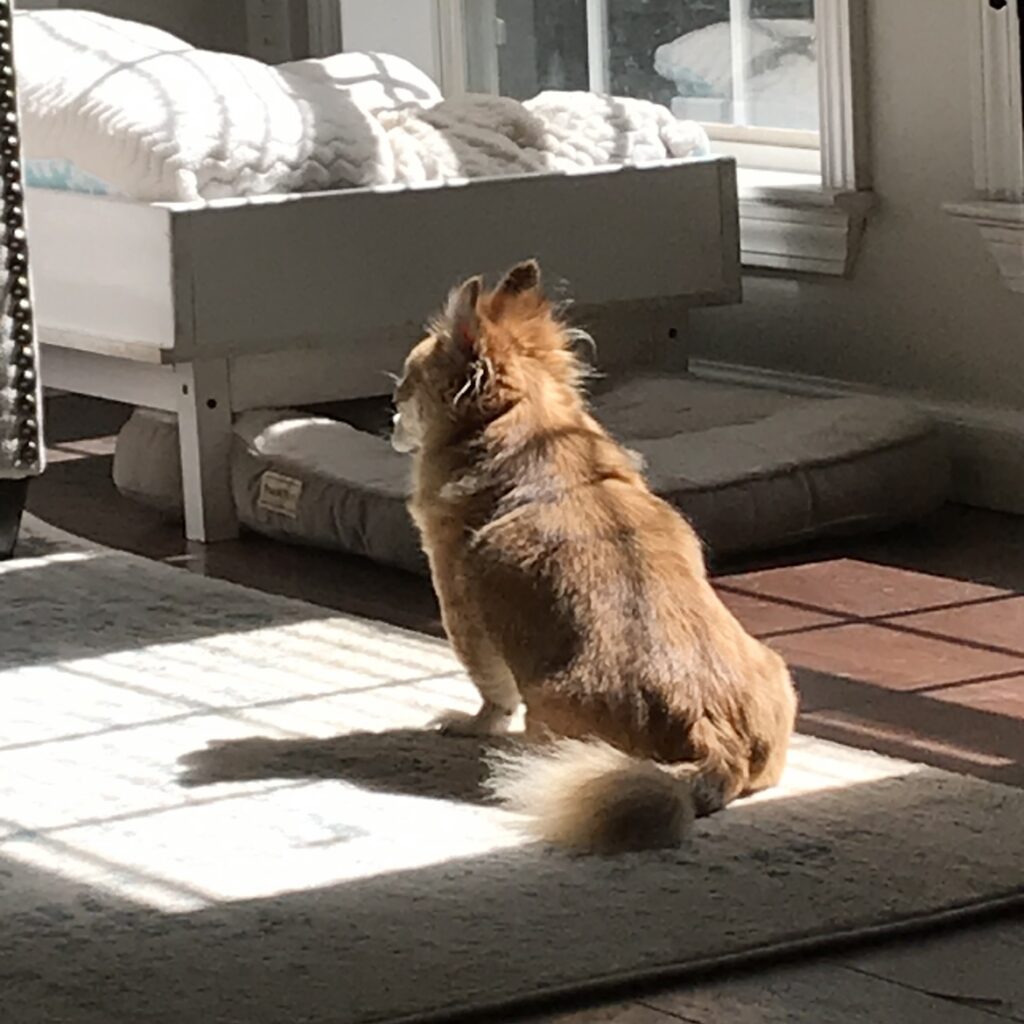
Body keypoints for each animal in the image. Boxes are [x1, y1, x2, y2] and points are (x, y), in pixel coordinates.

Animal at [391, 260, 798, 851]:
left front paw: (471, 725)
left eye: (408, 385)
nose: (390, 409)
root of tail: (714, 745)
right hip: (776, 670)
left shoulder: (459, 604)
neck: (528, 428)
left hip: (546, 709)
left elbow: (490, 687)